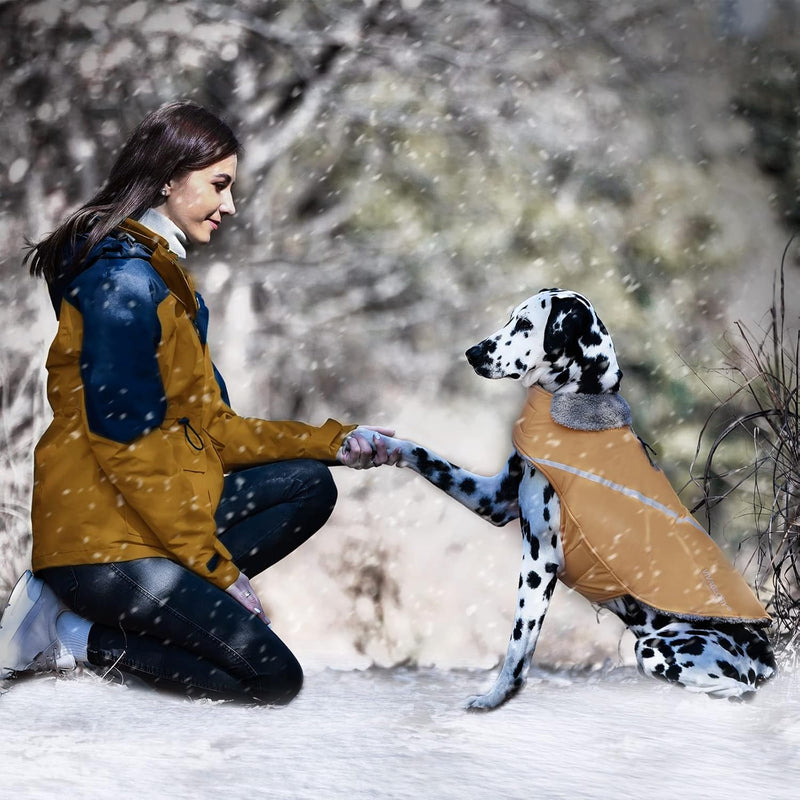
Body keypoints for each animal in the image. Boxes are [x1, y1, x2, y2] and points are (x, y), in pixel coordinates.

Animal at [358, 290, 776, 712]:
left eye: (525, 324)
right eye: (509, 318)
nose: (472, 353)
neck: (577, 402)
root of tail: (766, 659)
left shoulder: (539, 561)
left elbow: (517, 648)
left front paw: (494, 698)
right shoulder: (493, 500)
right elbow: (423, 453)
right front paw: (374, 442)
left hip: (656, 648)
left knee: (741, 691)